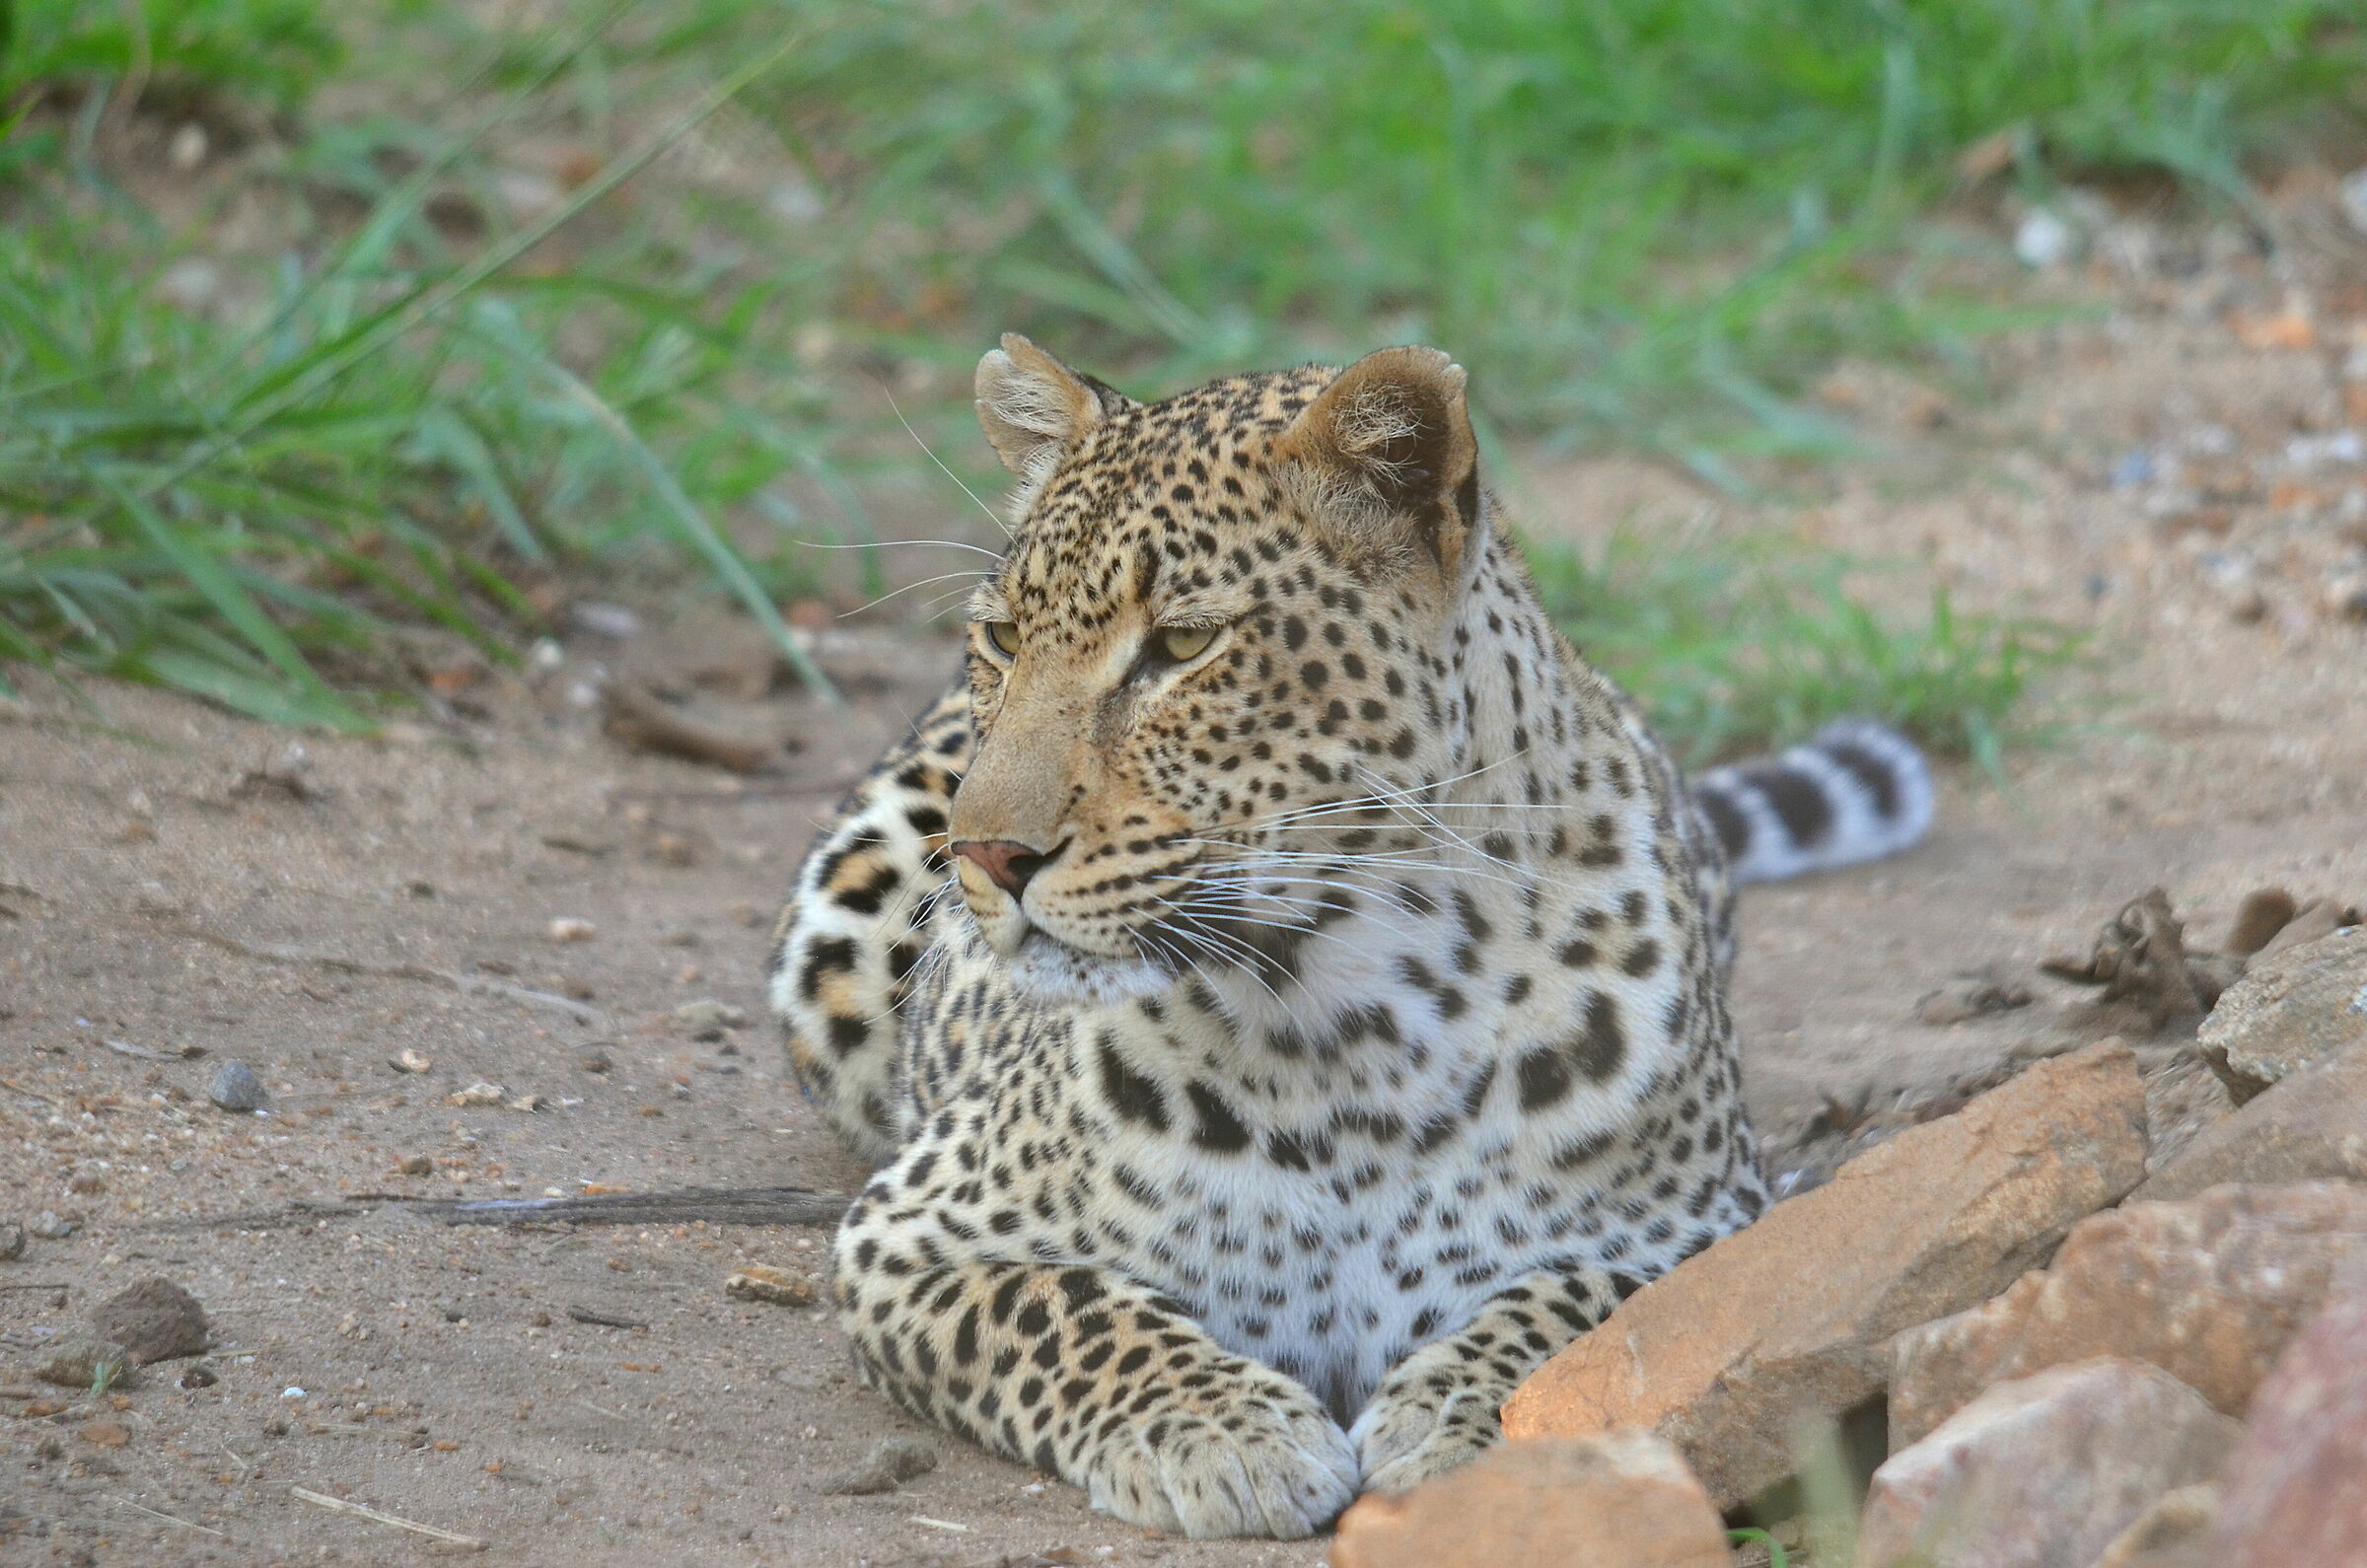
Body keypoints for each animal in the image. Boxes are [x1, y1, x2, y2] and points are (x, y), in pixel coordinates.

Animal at [768, 336, 1933, 1539]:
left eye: (1184, 643)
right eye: (1003, 636)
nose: (984, 854)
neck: (1348, 1017)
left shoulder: (1714, 1228)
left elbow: (1581, 1310)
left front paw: (1461, 1422)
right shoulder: (914, 1227)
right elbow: (1061, 1305)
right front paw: (1227, 1433)